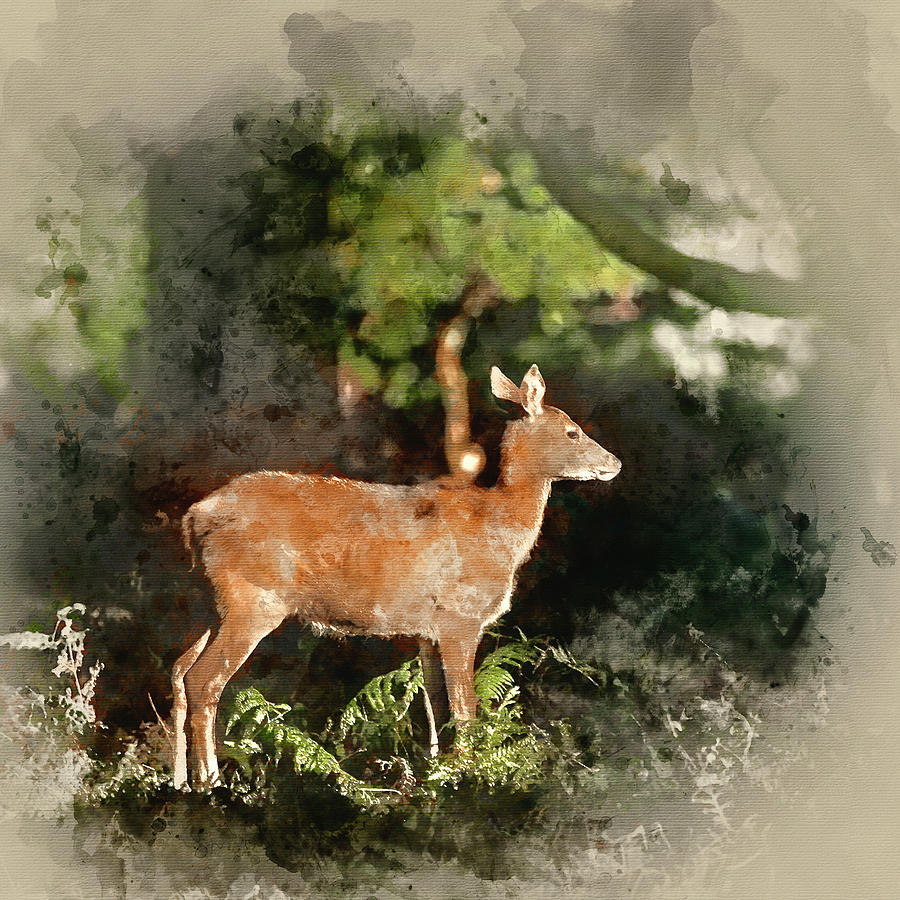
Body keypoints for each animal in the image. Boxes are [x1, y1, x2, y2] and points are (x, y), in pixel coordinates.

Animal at [170, 364, 622, 788]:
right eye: (573, 432)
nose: (614, 462)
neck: (498, 526)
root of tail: (195, 517)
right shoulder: (460, 616)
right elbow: (465, 707)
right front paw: (471, 774)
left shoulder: (428, 629)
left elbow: (437, 706)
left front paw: (440, 772)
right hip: (253, 598)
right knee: (204, 680)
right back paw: (211, 781)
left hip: (208, 603)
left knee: (177, 670)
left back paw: (181, 782)